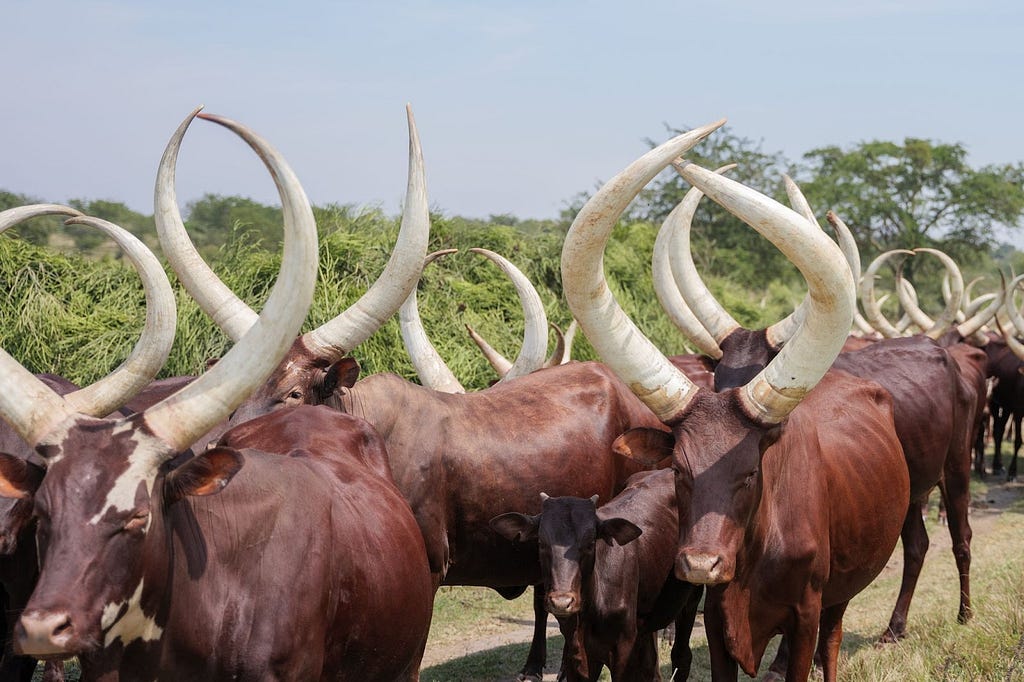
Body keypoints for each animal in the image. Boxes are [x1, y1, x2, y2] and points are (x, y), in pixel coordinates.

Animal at [489, 466, 700, 679]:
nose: (561, 602)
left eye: (590, 543)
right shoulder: (576, 655)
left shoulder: (623, 650)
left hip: (691, 596)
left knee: (682, 656)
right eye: (541, 543)